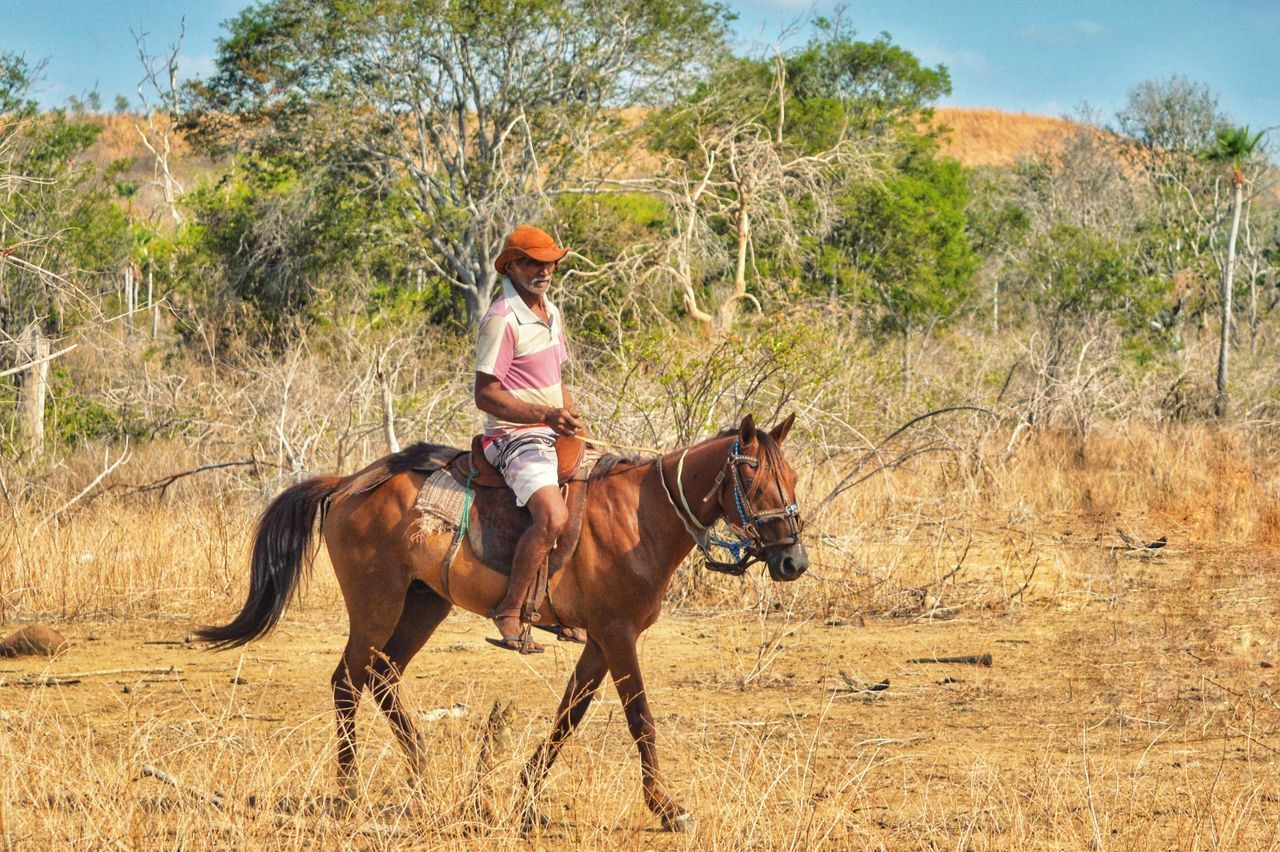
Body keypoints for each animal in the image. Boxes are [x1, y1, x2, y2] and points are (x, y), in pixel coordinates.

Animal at [195, 411, 803, 828]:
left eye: (793, 478)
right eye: (754, 482)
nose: (793, 561)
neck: (640, 515)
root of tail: (346, 484)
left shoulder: (600, 641)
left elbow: (568, 716)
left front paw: (526, 796)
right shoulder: (618, 635)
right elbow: (640, 720)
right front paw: (668, 808)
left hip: (423, 604)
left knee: (384, 676)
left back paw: (422, 775)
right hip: (376, 607)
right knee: (349, 680)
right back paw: (347, 793)